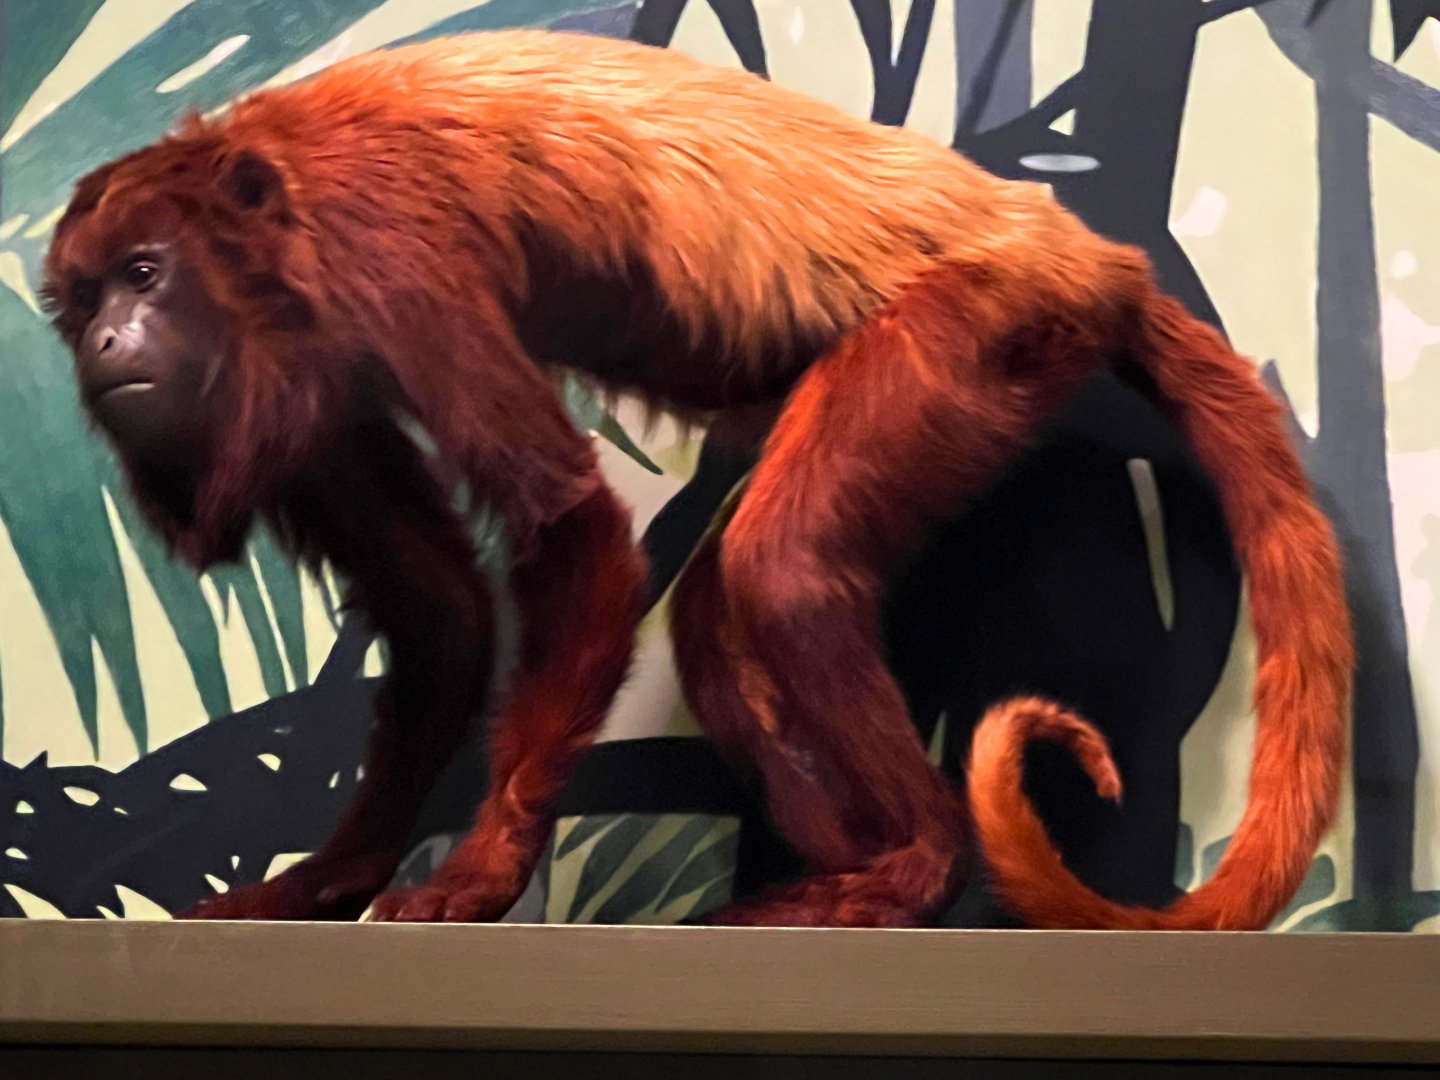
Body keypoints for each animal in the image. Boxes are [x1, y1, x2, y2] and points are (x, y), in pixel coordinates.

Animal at [41, 28, 1351, 930]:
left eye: (146, 273)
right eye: (79, 295)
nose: (102, 343)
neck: (275, 209)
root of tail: (1088, 254)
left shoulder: (392, 259)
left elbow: (572, 524)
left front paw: (483, 867)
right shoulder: (317, 376)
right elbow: (441, 609)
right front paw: (333, 874)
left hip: (975, 331)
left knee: (783, 564)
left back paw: (919, 867)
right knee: (725, 612)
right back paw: (842, 862)